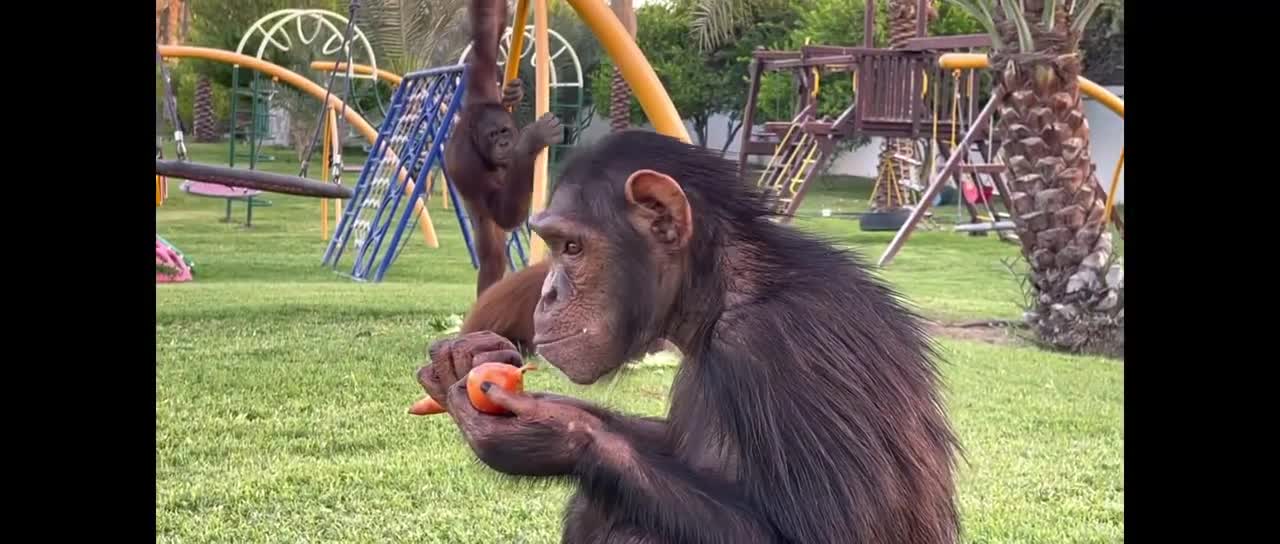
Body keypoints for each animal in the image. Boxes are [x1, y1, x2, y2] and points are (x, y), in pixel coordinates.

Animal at [419, 129, 962, 540]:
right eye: (552, 245)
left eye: (571, 247)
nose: (548, 293)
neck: (720, 292)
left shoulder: (783, 345)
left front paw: (558, 433)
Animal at [448, 0, 563, 294]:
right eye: (493, 135)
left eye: (504, 131)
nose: (504, 143)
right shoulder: (468, 165)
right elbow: (504, 214)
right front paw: (532, 141)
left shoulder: (482, 85)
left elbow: (486, 36)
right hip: (478, 213)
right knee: (493, 253)